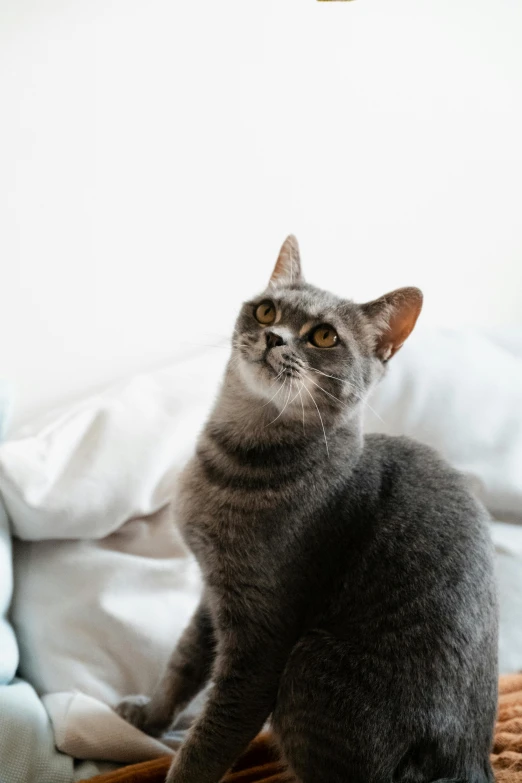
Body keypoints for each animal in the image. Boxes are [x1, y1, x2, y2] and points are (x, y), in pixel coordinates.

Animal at [116, 236, 498, 783]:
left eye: (322, 336)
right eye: (267, 309)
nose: (274, 336)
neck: (233, 462)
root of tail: (469, 763)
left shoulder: (263, 635)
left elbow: (213, 736)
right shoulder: (215, 590)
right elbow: (184, 662)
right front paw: (150, 716)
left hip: (307, 667)